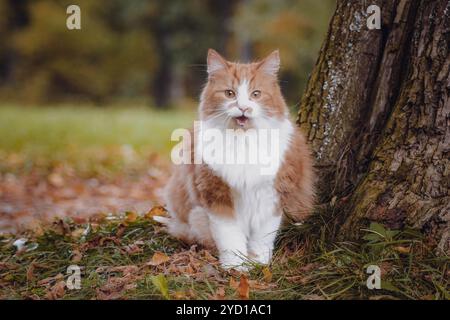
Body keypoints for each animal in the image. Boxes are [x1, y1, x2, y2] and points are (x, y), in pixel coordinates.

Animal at [156, 49, 314, 270]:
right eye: (229, 93)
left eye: (255, 94)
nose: (243, 107)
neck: (242, 140)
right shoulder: (217, 197)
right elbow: (231, 239)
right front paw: (236, 268)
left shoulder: (272, 197)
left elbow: (262, 239)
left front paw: (258, 264)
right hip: (196, 216)